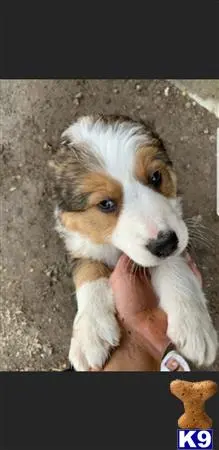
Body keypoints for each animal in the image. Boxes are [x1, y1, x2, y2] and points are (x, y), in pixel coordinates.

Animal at [48, 113, 218, 370]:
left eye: (156, 177)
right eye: (106, 204)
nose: (165, 244)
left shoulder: (177, 230)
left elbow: (174, 265)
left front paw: (193, 324)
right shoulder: (78, 240)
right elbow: (89, 270)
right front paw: (90, 332)